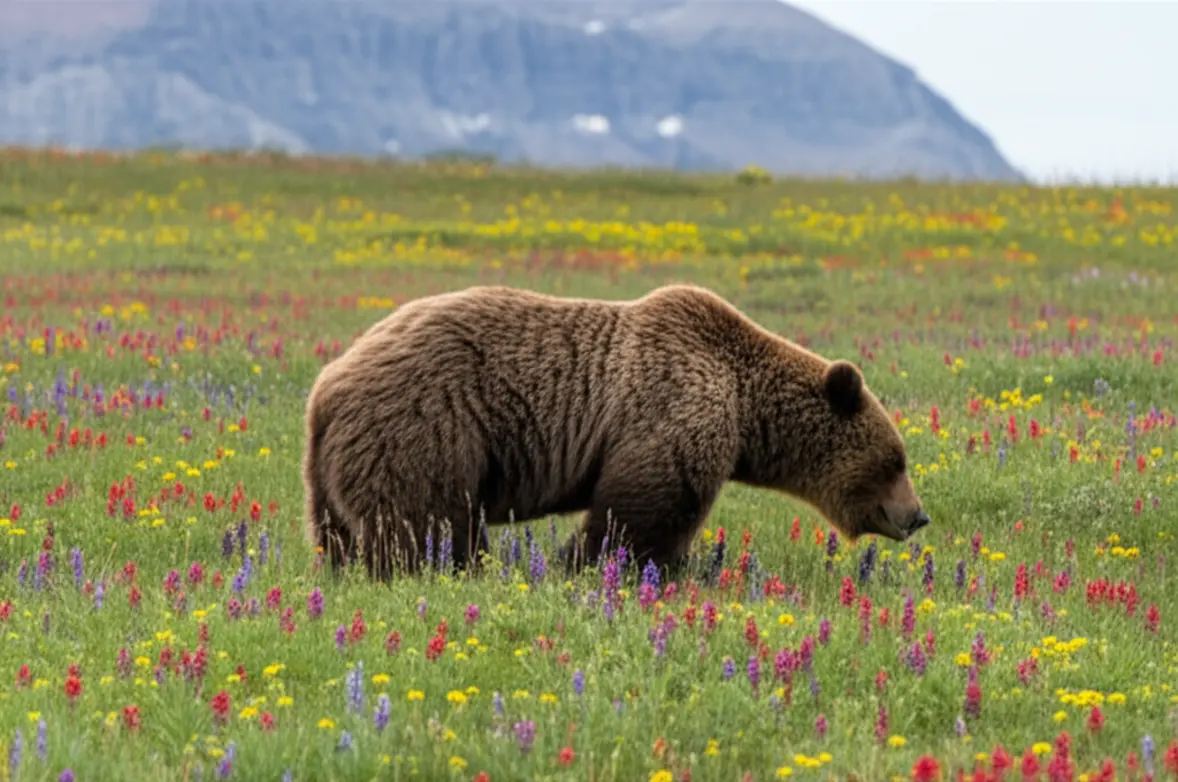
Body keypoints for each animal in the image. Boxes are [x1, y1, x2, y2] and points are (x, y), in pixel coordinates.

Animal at [302, 283, 930, 580]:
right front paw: (592, 565)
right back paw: (453, 570)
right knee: (426, 521)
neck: (745, 404)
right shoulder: (673, 405)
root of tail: (326, 386)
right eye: (895, 460)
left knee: (342, 532)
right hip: (429, 422)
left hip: (331, 468)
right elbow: (643, 506)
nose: (918, 515)